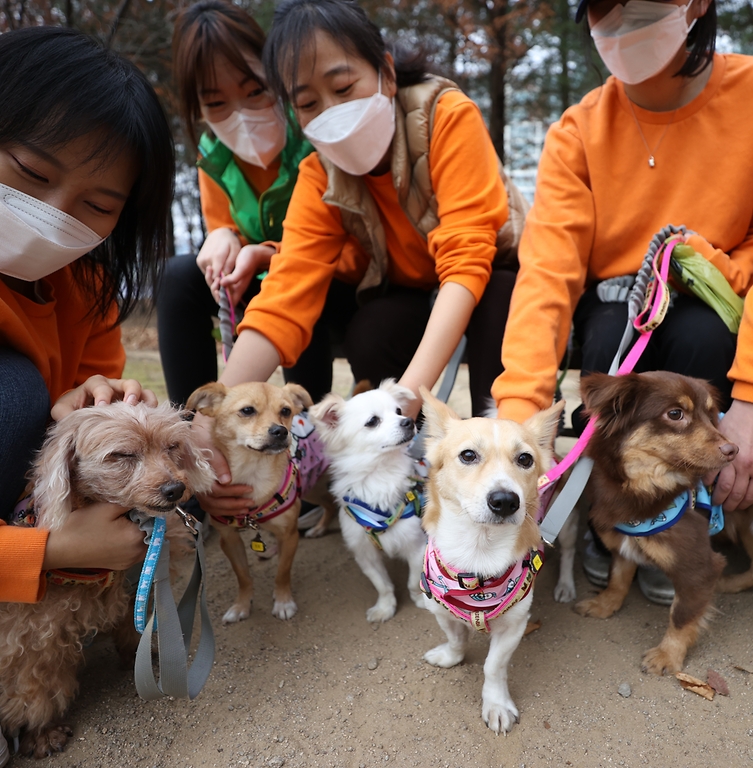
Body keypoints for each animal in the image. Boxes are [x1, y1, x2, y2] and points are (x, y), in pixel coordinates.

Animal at [0, 404, 214, 760]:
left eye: (171, 447)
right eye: (122, 455)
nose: (175, 489)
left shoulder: (134, 586)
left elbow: (132, 626)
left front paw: (139, 655)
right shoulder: (32, 637)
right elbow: (36, 691)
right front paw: (42, 733)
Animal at [187, 380, 336, 624]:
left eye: (285, 411)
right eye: (247, 410)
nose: (280, 430)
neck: (253, 471)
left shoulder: (289, 535)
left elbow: (282, 572)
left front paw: (283, 601)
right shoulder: (229, 540)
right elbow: (243, 576)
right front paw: (241, 605)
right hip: (311, 486)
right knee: (329, 504)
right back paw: (319, 528)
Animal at [310, 380, 428, 624]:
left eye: (399, 411)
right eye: (373, 421)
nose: (408, 421)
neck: (379, 476)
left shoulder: (416, 546)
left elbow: (413, 581)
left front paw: (420, 599)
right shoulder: (365, 554)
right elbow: (382, 585)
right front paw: (385, 607)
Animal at [572, 368, 736, 676]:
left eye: (710, 415)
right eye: (675, 414)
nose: (734, 449)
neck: (645, 487)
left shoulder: (701, 568)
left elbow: (682, 614)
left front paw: (667, 656)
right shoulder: (623, 543)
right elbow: (618, 578)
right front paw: (605, 604)